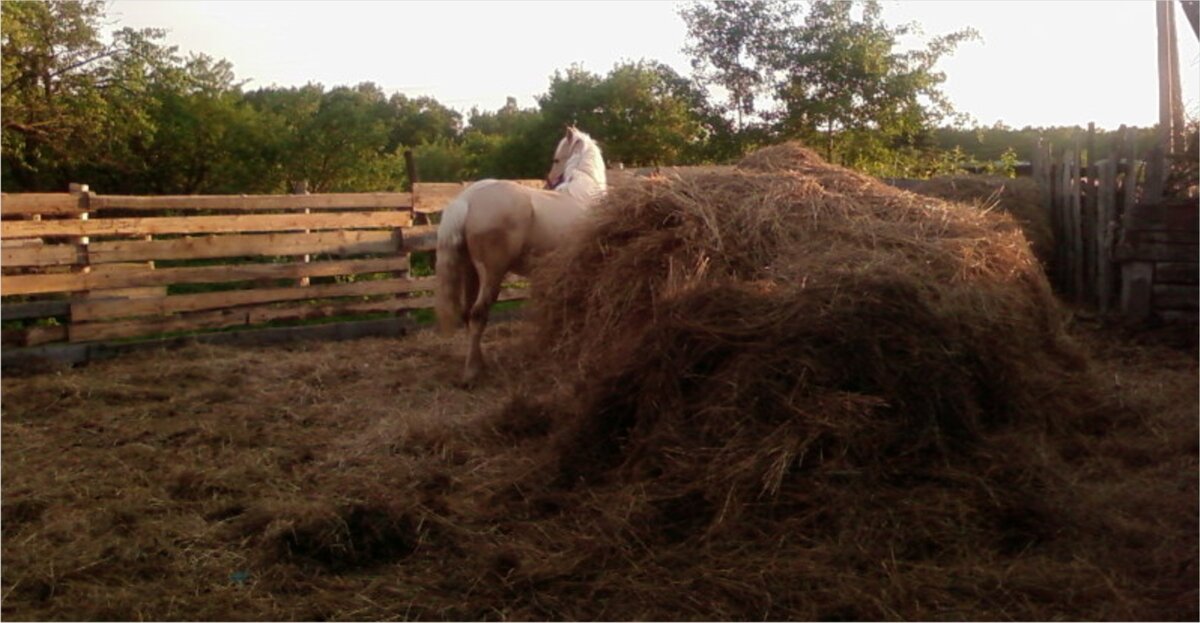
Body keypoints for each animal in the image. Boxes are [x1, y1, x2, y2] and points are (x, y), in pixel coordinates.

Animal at [434, 125, 609, 384]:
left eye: (556, 159)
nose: (549, 180)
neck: (584, 194)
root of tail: (468, 198)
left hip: (470, 273)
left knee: (467, 314)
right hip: (492, 274)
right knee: (478, 315)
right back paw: (472, 373)